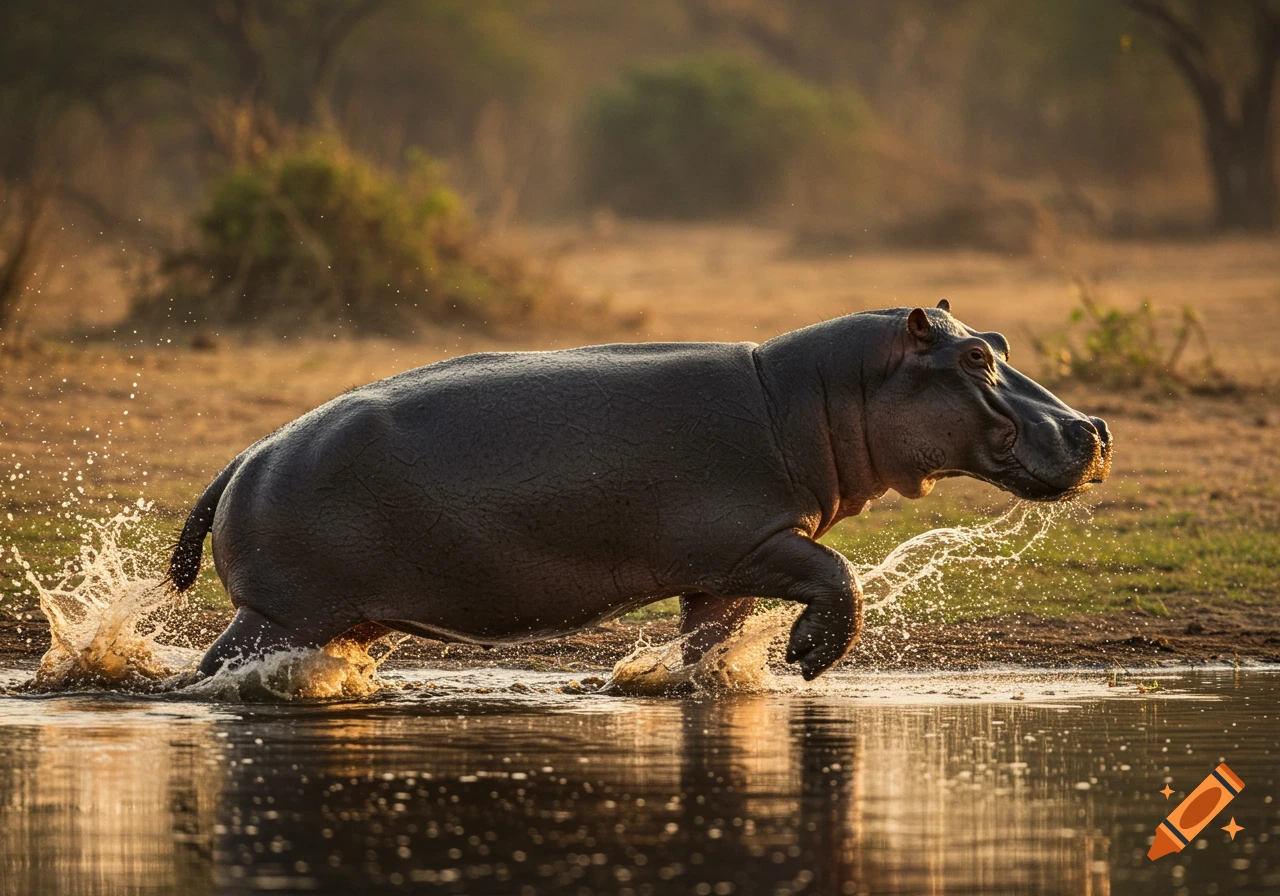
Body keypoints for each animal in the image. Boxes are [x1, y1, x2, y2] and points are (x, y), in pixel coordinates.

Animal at [168, 303, 1111, 680]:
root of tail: (249, 452)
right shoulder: (752, 540)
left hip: (344, 618)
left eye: (997, 339)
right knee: (214, 667)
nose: (1095, 429)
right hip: (281, 612)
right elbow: (839, 575)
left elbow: (713, 642)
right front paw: (808, 658)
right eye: (975, 358)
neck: (808, 394)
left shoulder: (722, 573)